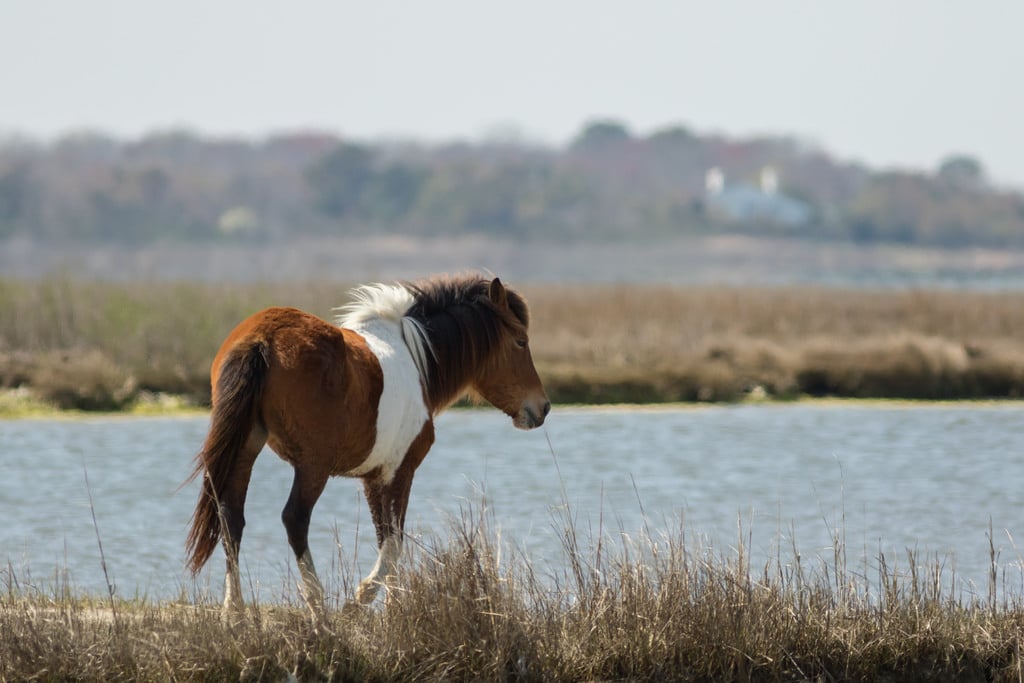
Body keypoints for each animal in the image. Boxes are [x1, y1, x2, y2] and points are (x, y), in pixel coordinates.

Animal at [184, 272, 552, 614]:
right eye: (520, 341)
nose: (542, 407)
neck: (416, 360)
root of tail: (262, 338)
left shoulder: (373, 477)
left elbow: (385, 541)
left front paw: (391, 609)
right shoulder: (400, 471)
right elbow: (394, 544)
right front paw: (361, 602)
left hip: (246, 448)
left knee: (231, 518)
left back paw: (234, 612)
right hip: (312, 466)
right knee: (295, 519)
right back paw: (319, 611)